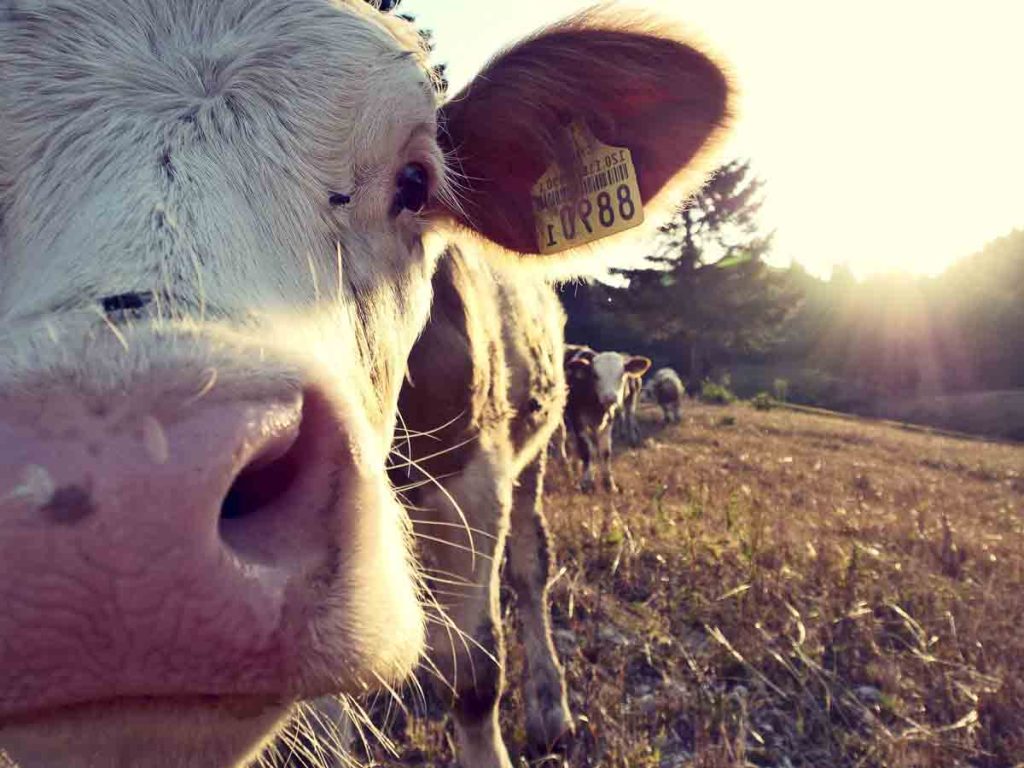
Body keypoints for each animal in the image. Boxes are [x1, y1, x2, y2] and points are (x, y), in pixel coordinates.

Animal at [565, 350, 651, 493]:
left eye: (622, 374)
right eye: (595, 375)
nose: (610, 397)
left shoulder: (608, 421)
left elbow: (605, 451)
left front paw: (609, 484)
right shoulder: (577, 420)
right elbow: (587, 449)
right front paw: (587, 481)